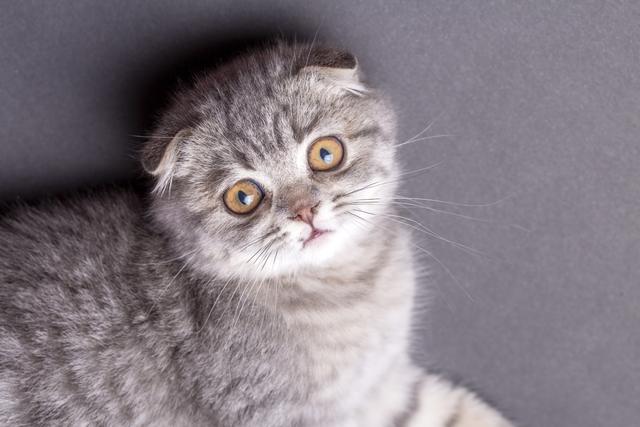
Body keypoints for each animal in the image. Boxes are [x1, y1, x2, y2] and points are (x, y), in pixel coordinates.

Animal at [0, 41, 514, 426]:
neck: (348, 289)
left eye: (325, 153)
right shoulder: (277, 412)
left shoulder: (383, 390)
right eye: (243, 197)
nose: (305, 211)